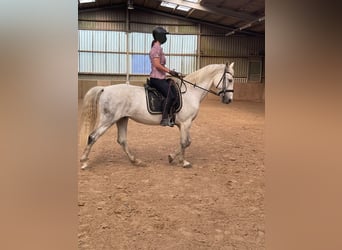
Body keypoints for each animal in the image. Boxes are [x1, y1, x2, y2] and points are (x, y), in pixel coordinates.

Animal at [79, 61, 235, 169]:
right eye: (230, 80)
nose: (229, 100)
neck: (191, 92)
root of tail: (105, 89)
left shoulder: (183, 125)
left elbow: (186, 142)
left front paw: (173, 158)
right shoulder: (186, 123)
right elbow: (185, 142)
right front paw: (183, 162)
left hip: (121, 119)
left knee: (121, 140)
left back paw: (136, 161)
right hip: (108, 120)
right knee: (93, 137)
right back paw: (84, 162)